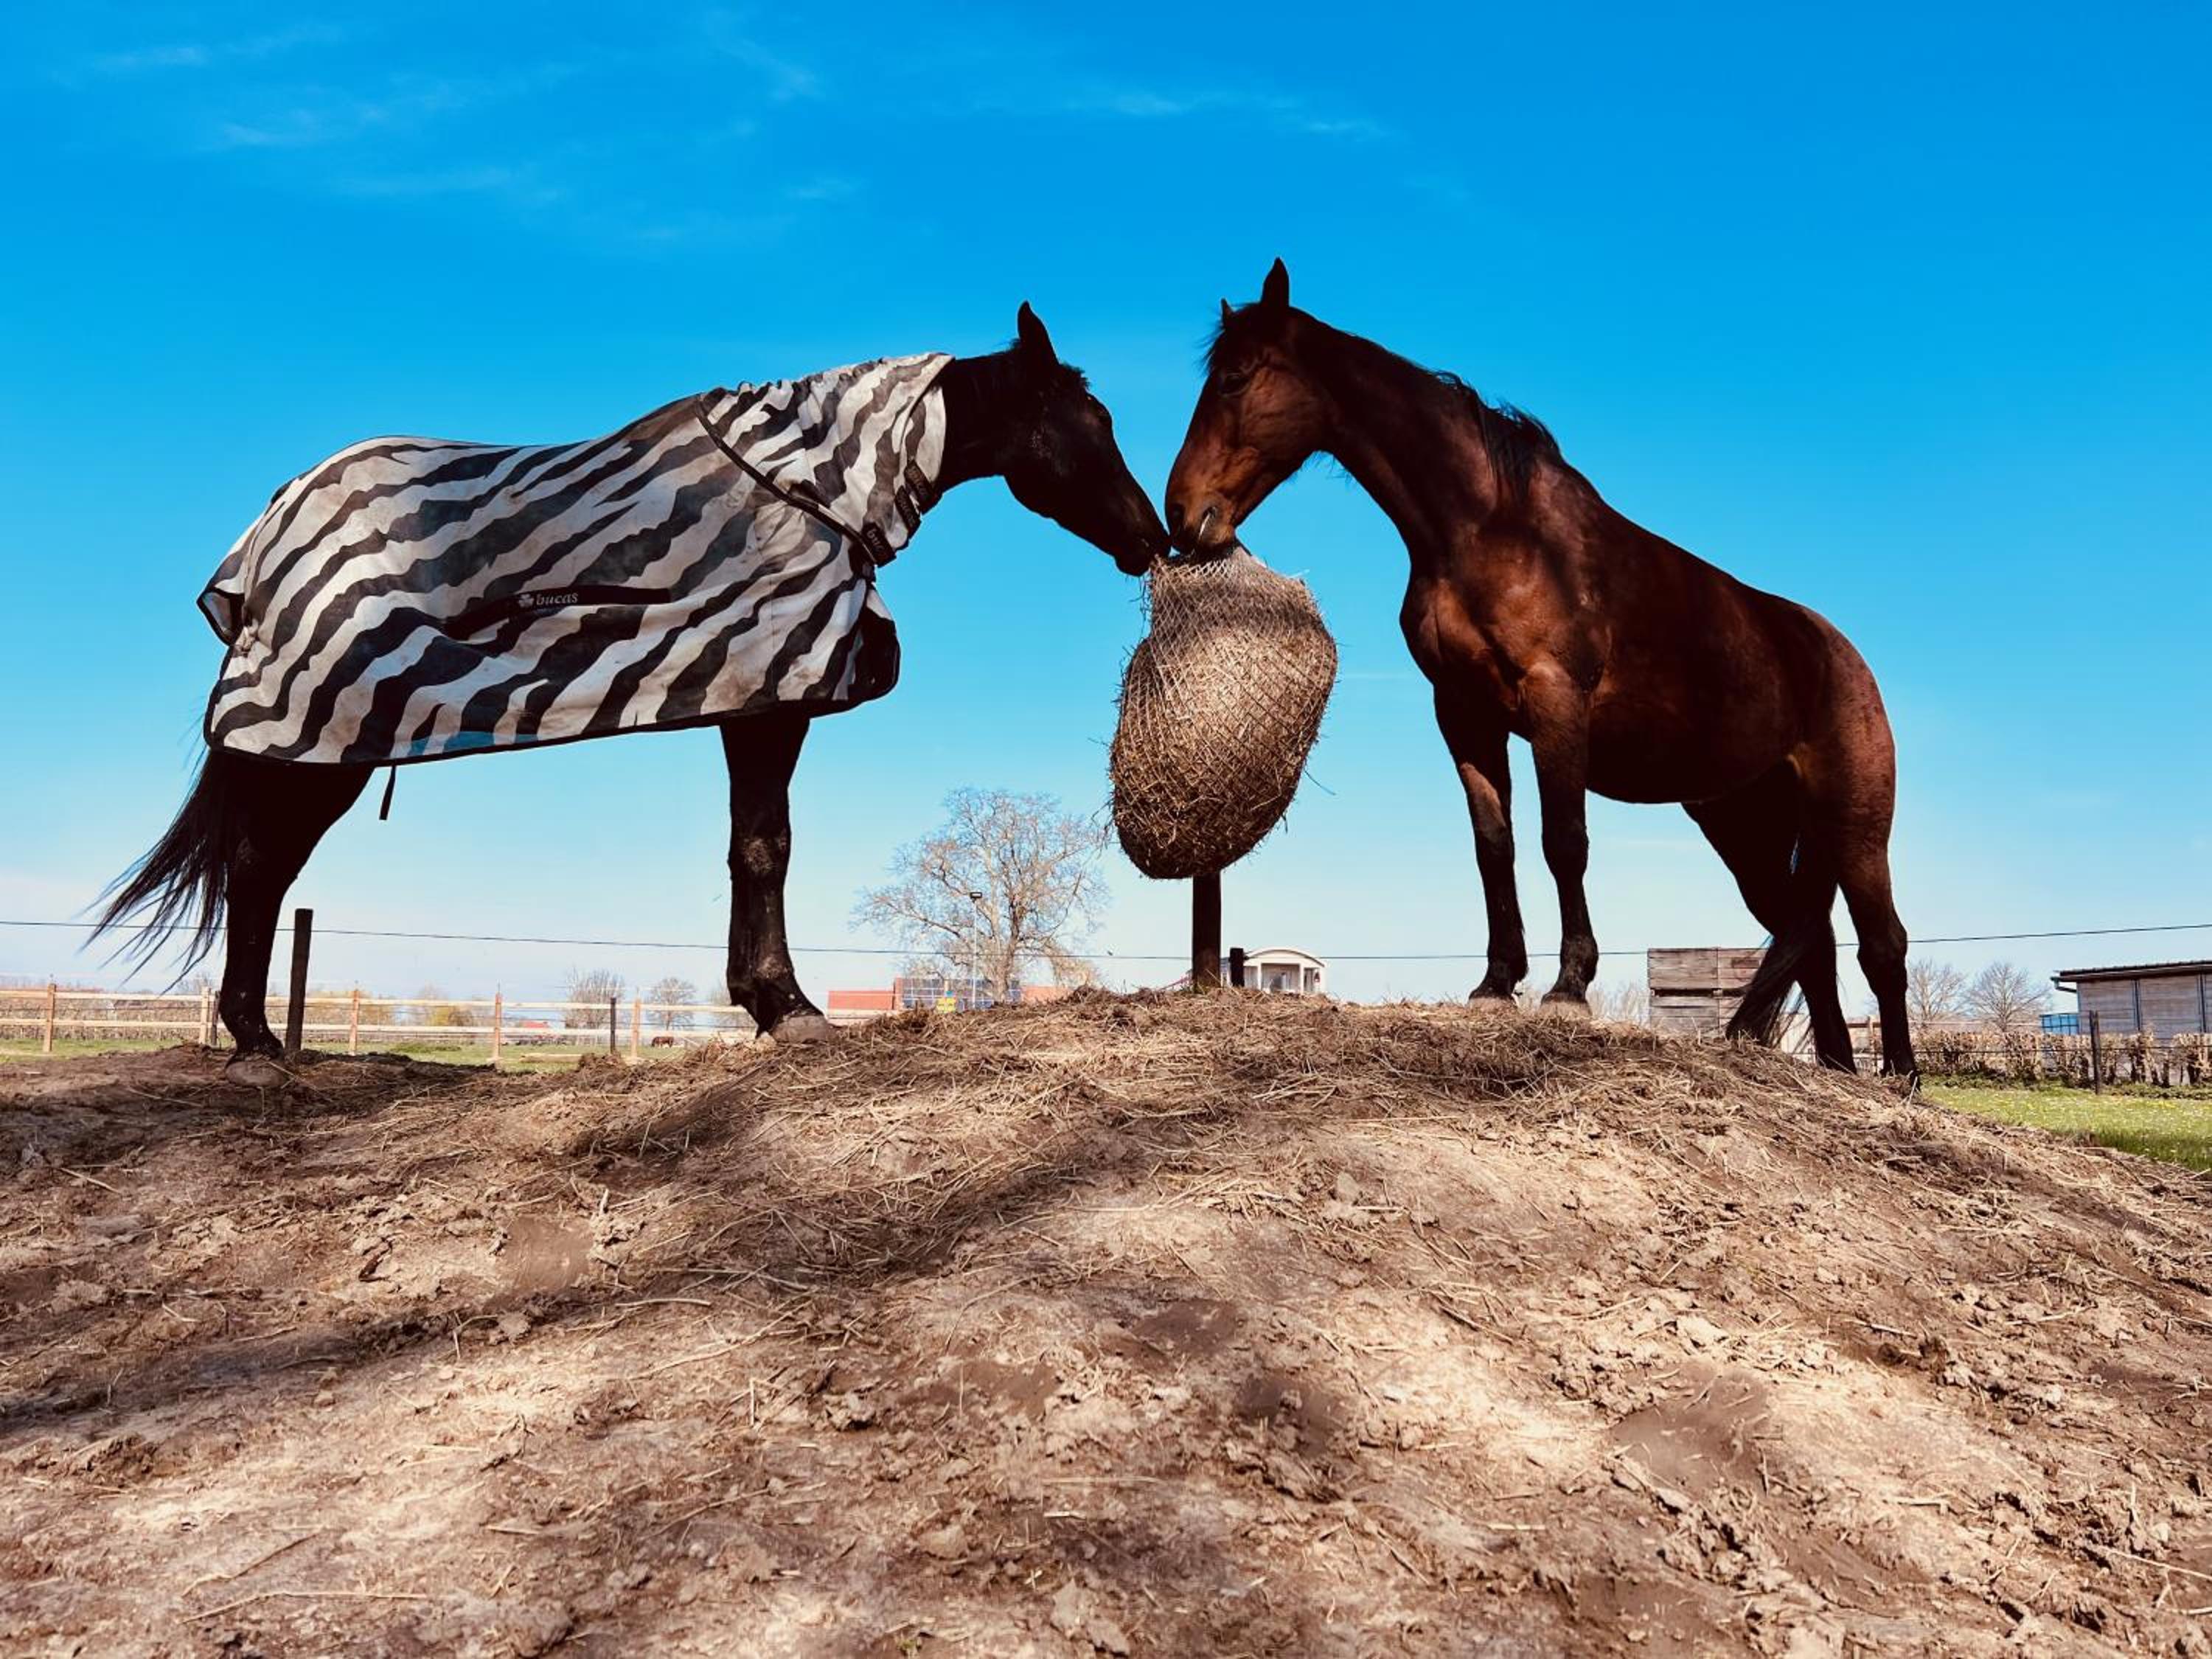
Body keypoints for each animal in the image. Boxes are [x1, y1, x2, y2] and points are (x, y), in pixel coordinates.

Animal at [100, 305, 1165, 1074]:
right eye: (1092, 424)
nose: (1152, 539)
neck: (808, 485)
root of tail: (273, 524)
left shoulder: (749, 695)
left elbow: (752, 846)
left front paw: (766, 1003)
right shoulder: (768, 689)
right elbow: (765, 847)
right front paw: (787, 1007)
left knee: (263, 867)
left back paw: (259, 1037)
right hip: (323, 738)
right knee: (259, 866)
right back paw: (254, 1043)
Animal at [1163, 261, 1914, 1077]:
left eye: (1235, 379)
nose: (1184, 514)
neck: (1492, 531)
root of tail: (1839, 654)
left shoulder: (1556, 705)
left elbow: (1564, 842)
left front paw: (1568, 986)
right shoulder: (1464, 713)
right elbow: (1496, 846)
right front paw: (1497, 983)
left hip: (1854, 823)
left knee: (1880, 942)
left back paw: (1901, 1078)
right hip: (1746, 827)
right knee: (1811, 936)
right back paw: (1830, 1064)